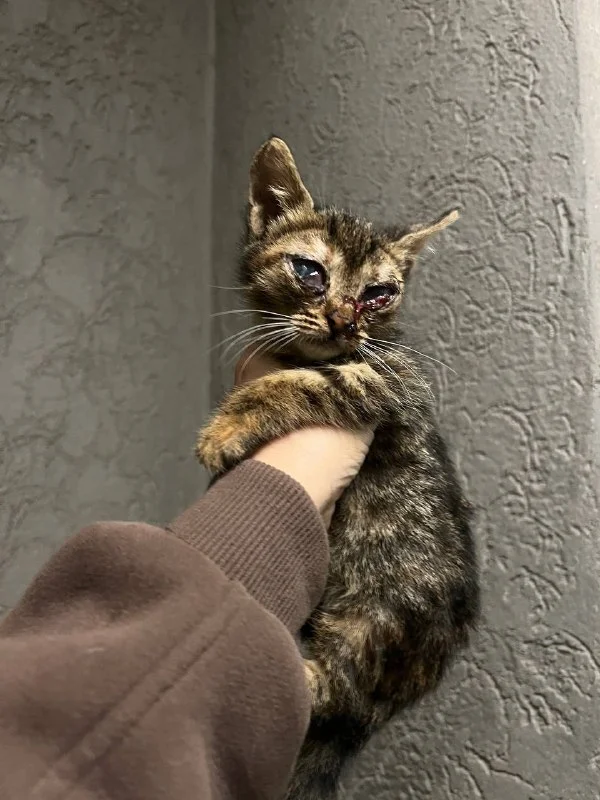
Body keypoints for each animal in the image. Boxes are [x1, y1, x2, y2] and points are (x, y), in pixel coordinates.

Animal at [197, 137, 480, 799]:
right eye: (310, 271)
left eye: (379, 294)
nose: (345, 319)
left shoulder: (388, 381)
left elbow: (300, 383)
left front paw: (226, 428)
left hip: (370, 623)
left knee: (325, 692)